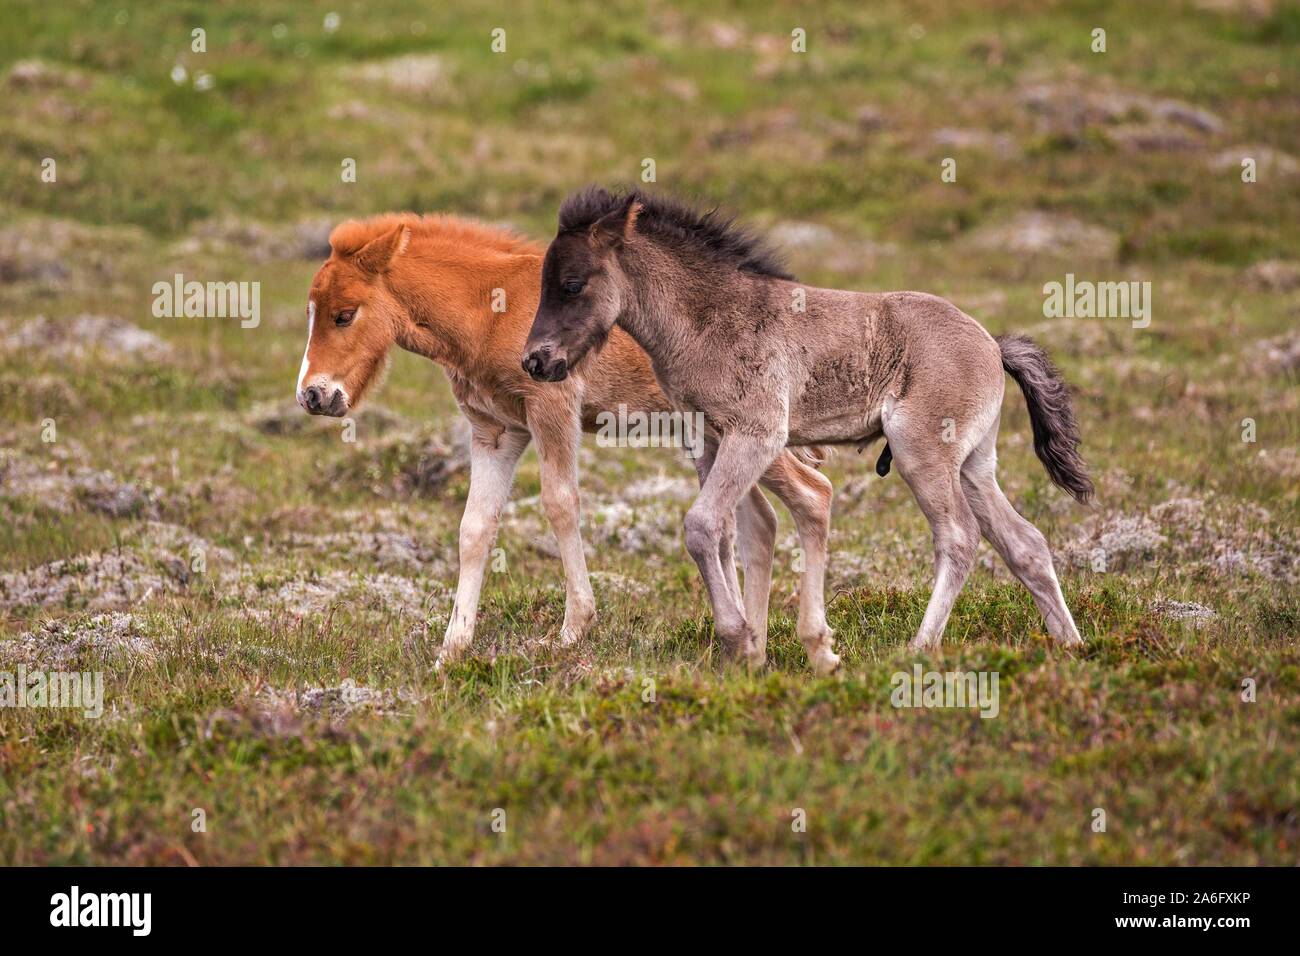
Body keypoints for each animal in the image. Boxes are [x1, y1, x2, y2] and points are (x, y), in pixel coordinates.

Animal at [295, 213, 832, 671]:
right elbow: (475, 529)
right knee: (755, 523)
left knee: (814, 495)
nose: (312, 395)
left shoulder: (552, 408)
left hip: (753, 432)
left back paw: (809, 647)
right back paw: (752, 647)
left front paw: (574, 629)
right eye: (310, 311)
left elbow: (559, 503)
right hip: (711, 440)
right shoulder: (496, 431)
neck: (489, 311)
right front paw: (451, 652)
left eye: (344, 314)